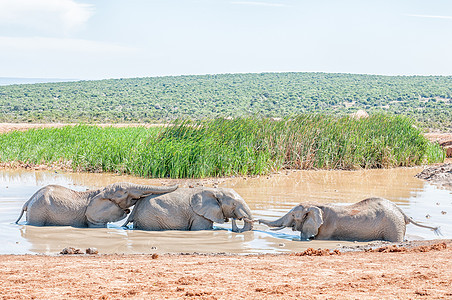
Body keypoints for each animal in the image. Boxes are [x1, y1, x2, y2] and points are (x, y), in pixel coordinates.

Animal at [120, 186, 254, 233]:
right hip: (150, 218)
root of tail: (135, 208)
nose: (236, 218)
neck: (215, 190)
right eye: (234, 204)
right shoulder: (199, 215)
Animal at [260, 198, 440, 243]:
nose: (257, 221)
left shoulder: (325, 229)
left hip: (393, 225)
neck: (315, 205)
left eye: (292, 216)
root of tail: (402, 213)